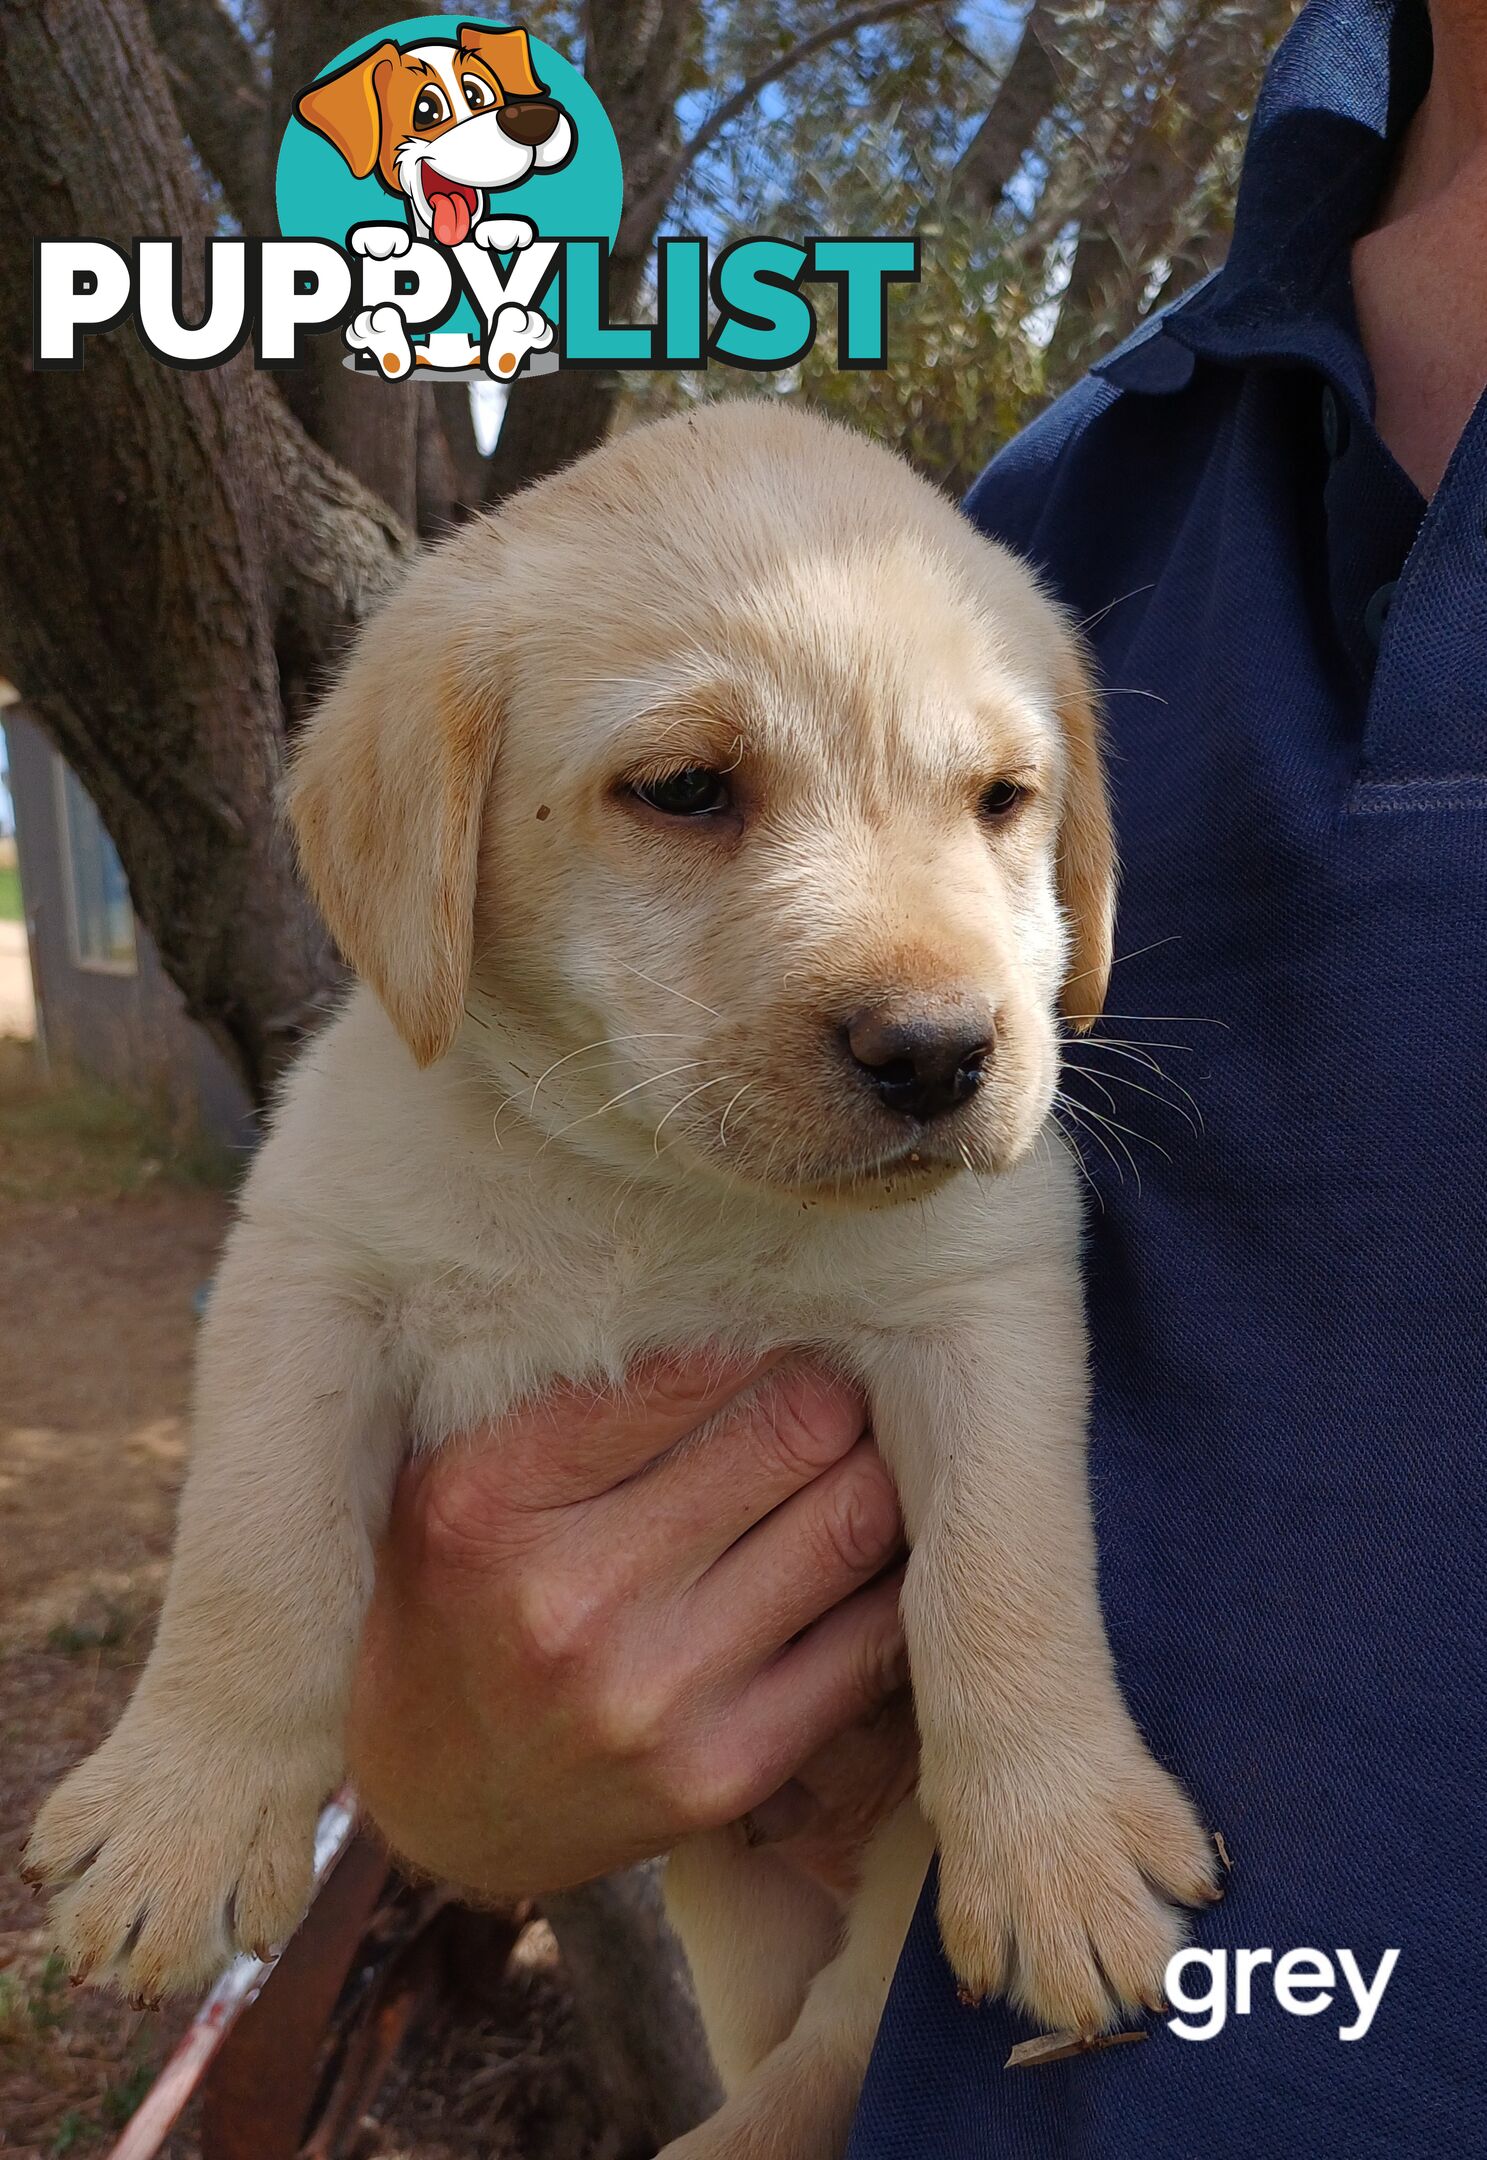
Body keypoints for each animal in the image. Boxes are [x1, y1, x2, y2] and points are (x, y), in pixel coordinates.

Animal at [23, 401, 1210, 2142]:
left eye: (1002, 799)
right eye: (685, 789)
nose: (940, 1054)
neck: (647, 1187)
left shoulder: (983, 1309)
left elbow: (1003, 1577)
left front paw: (1061, 1844)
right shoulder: (305, 1273)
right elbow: (254, 1556)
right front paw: (180, 1816)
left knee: (829, 2057)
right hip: (739, 1924)